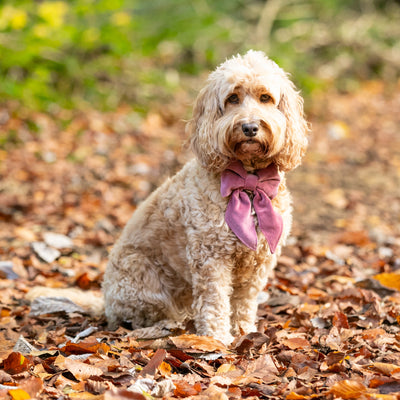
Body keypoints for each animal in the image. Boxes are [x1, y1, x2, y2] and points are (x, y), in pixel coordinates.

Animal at [101, 50, 308, 344]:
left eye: (265, 98)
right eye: (232, 98)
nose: (249, 127)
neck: (248, 180)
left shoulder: (258, 262)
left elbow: (244, 303)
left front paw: (245, 332)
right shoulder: (211, 258)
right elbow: (215, 301)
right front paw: (218, 338)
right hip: (140, 275)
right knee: (142, 317)